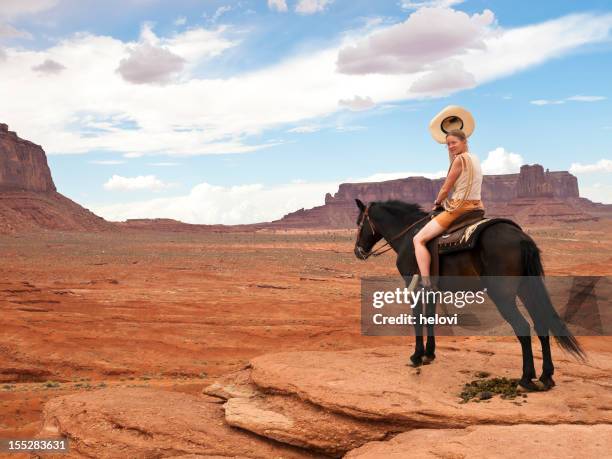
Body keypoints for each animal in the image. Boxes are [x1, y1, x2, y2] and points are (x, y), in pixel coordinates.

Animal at [356, 199, 584, 392]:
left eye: (359, 223)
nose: (358, 252)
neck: (409, 237)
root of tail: (521, 239)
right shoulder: (432, 289)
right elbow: (430, 317)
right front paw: (429, 354)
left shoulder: (414, 287)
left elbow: (418, 318)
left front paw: (417, 356)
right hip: (526, 289)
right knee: (541, 324)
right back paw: (546, 376)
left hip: (502, 296)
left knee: (522, 327)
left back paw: (526, 378)